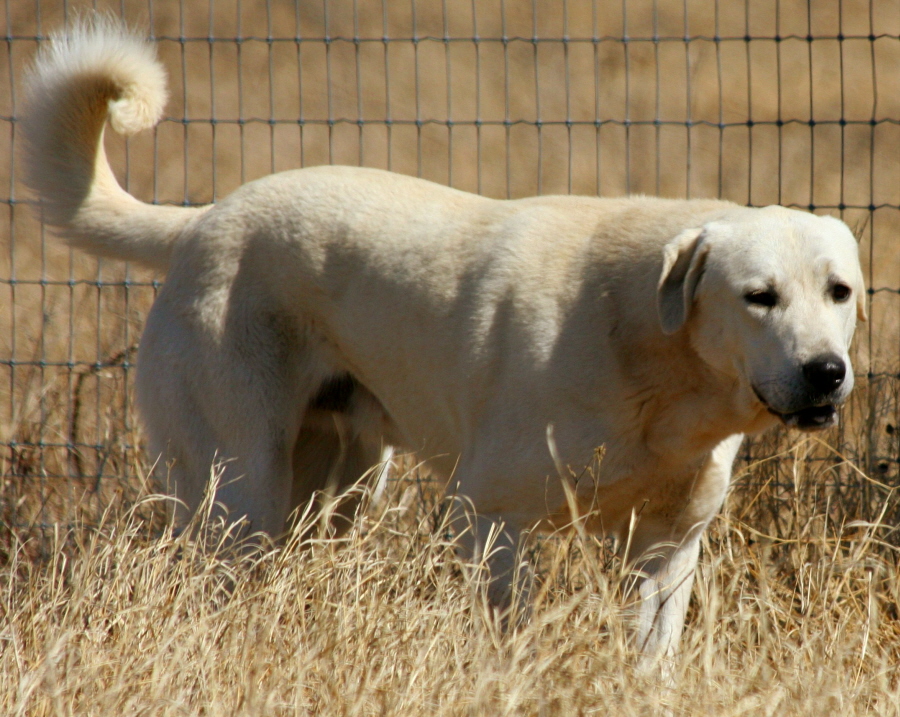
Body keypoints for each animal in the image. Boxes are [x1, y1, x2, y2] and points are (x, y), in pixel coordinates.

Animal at [21, 17, 865, 665]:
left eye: (841, 291)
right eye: (758, 296)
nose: (827, 372)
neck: (653, 365)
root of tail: (200, 222)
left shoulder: (665, 546)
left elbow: (648, 658)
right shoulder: (488, 517)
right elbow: (510, 639)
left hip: (335, 490)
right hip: (239, 491)